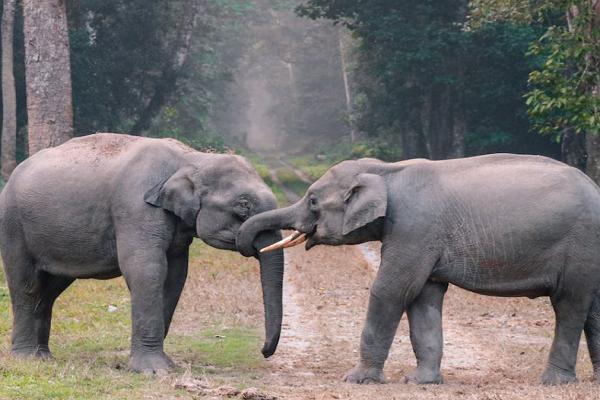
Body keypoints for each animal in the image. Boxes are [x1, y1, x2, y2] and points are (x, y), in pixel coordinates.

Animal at [0, 133, 284, 374]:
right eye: (243, 205)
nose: (264, 351)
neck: (192, 158)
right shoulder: (135, 208)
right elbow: (146, 270)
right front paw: (154, 371)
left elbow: (175, 276)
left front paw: (166, 365)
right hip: (13, 225)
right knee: (26, 285)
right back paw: (27, 358)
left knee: (49, 290)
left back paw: (44, 357)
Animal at [238, 155, 600, 386]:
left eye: (313, 200)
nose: (264, 352)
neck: (386, 171)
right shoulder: (421, 238)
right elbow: (424, 297)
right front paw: (421, 382)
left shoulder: (414, 229)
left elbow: (392, 290)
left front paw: (357, 380)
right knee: (594, 310)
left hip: (580, 246)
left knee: (569, 305)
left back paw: (553, 382)